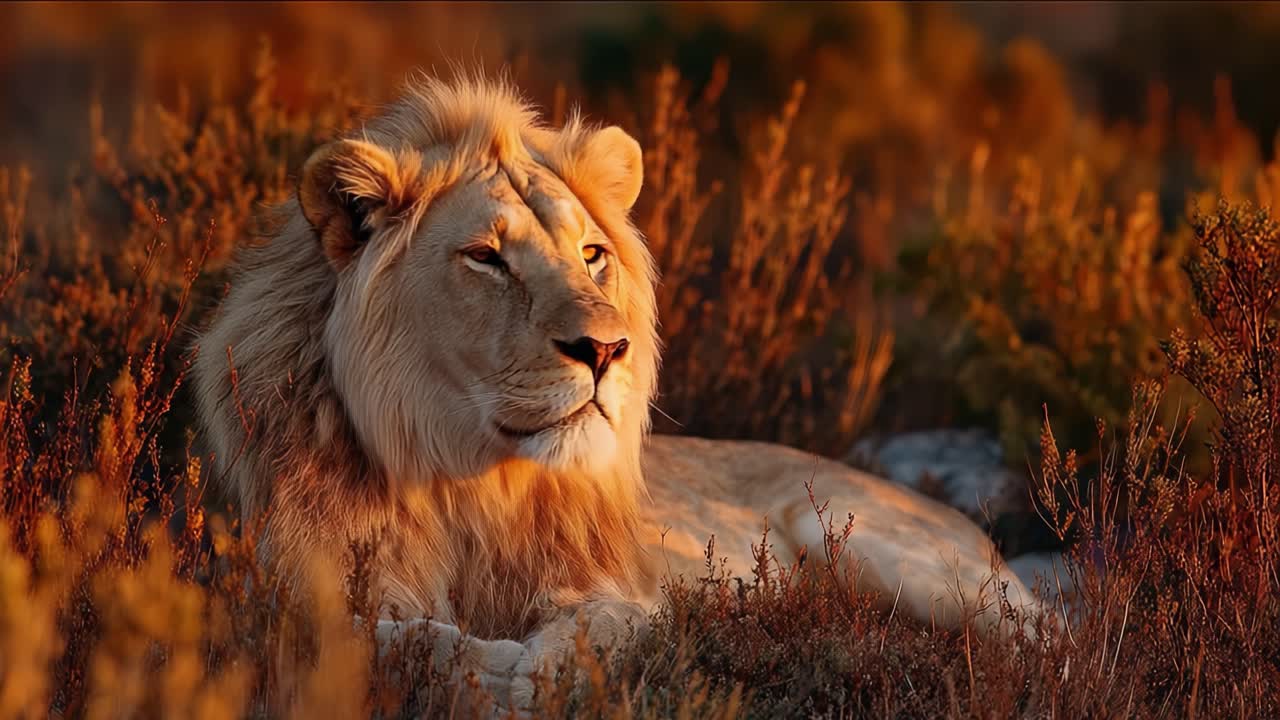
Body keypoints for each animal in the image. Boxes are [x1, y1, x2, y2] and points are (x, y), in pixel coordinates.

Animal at [192, 74, 1039, 709]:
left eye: (591, 253)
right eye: (485, 257)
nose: (606, 350)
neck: (470, 487)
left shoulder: (616, 590)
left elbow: (593, 630)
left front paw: (525, 673)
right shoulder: (288, 593)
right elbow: (385, 638)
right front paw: (482, 667)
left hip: (878, 547)